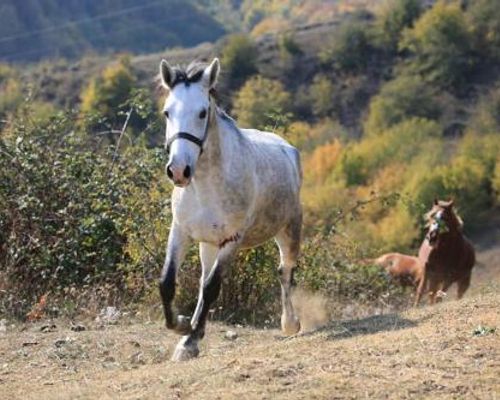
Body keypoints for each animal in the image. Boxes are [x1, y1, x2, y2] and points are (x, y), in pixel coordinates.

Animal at [158, 57, 302, 360]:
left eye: (202, 113)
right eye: (167, 112)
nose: (178, 171)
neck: (206, 187)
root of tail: (287, 147)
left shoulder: (231, 240)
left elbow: (212, 287)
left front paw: (189, 337)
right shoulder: (181, 232)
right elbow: (168, 282)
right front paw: (183, 329)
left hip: (290, 229)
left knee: (285, 271)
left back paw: (290, 323)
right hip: (207, 243)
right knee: (203, 278)